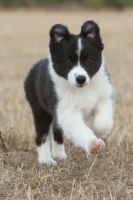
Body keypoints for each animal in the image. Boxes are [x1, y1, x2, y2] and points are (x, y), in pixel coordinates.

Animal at [23, 20, 113, 166]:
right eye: (68, 61)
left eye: (89, 60)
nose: (81, 79)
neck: (82, 89)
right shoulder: (67, 112)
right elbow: (80, 128)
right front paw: (93, 144)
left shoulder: (104, 98)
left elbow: (103, 122)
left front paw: (97, 133)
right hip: (39, 108)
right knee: (42, 134)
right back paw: (46, 159)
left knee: (56, 131)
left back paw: (59, 154)